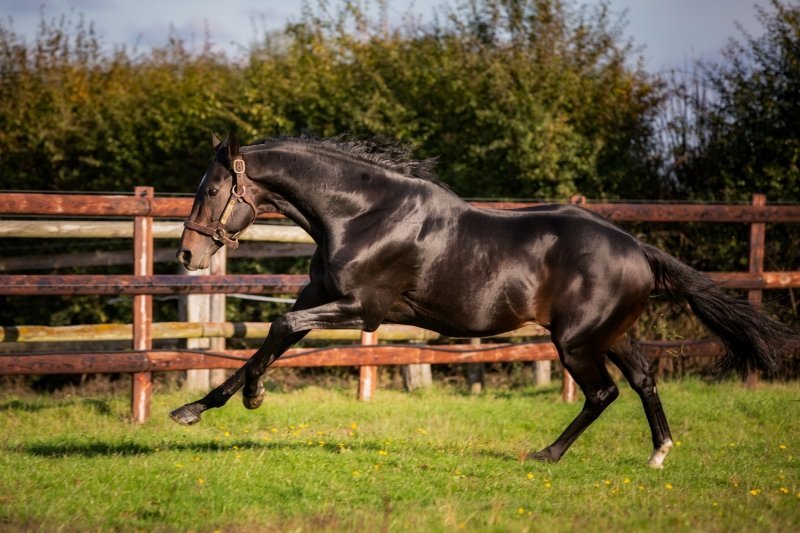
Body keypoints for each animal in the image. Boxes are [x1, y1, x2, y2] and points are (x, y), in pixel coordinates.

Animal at [170, 133, 792, 466]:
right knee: (643, 380)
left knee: (604, 393)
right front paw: (195, 409)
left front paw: (251, 399)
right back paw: (660, 451)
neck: (361, 215)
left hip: (576, 341)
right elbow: (273, 339)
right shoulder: (322, 296)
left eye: (212, 189)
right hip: (613, 334)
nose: (187, 255)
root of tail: (637, 248)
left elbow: (278, 330)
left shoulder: (363, 310)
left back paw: (547, 455)